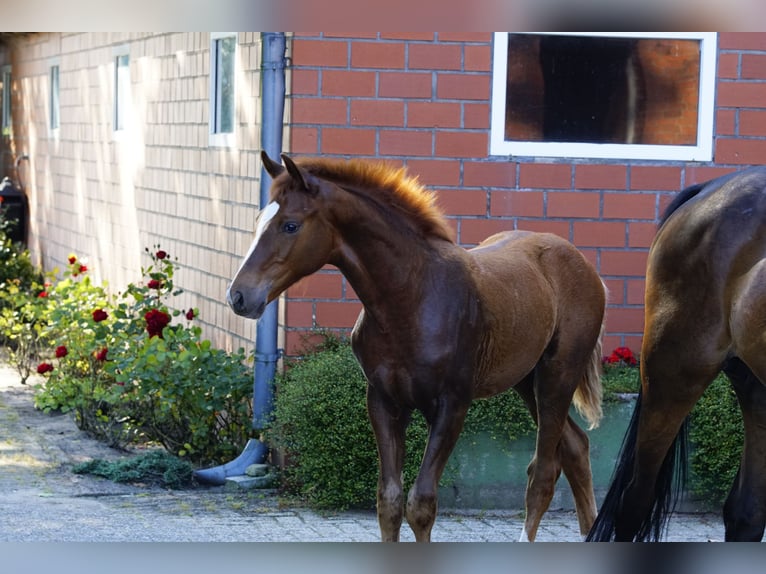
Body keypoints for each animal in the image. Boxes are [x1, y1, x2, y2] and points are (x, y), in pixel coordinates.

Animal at [225, 153, 608, 544]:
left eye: (290, 225)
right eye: (259, 220)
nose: (239, 296)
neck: (411, 298)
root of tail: (582, 263)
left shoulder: (451, 405)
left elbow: (421, 504)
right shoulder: (384, 401)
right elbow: (390, 501)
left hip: (557, 376)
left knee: (543, 472)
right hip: (525, 381)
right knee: (575, 446)